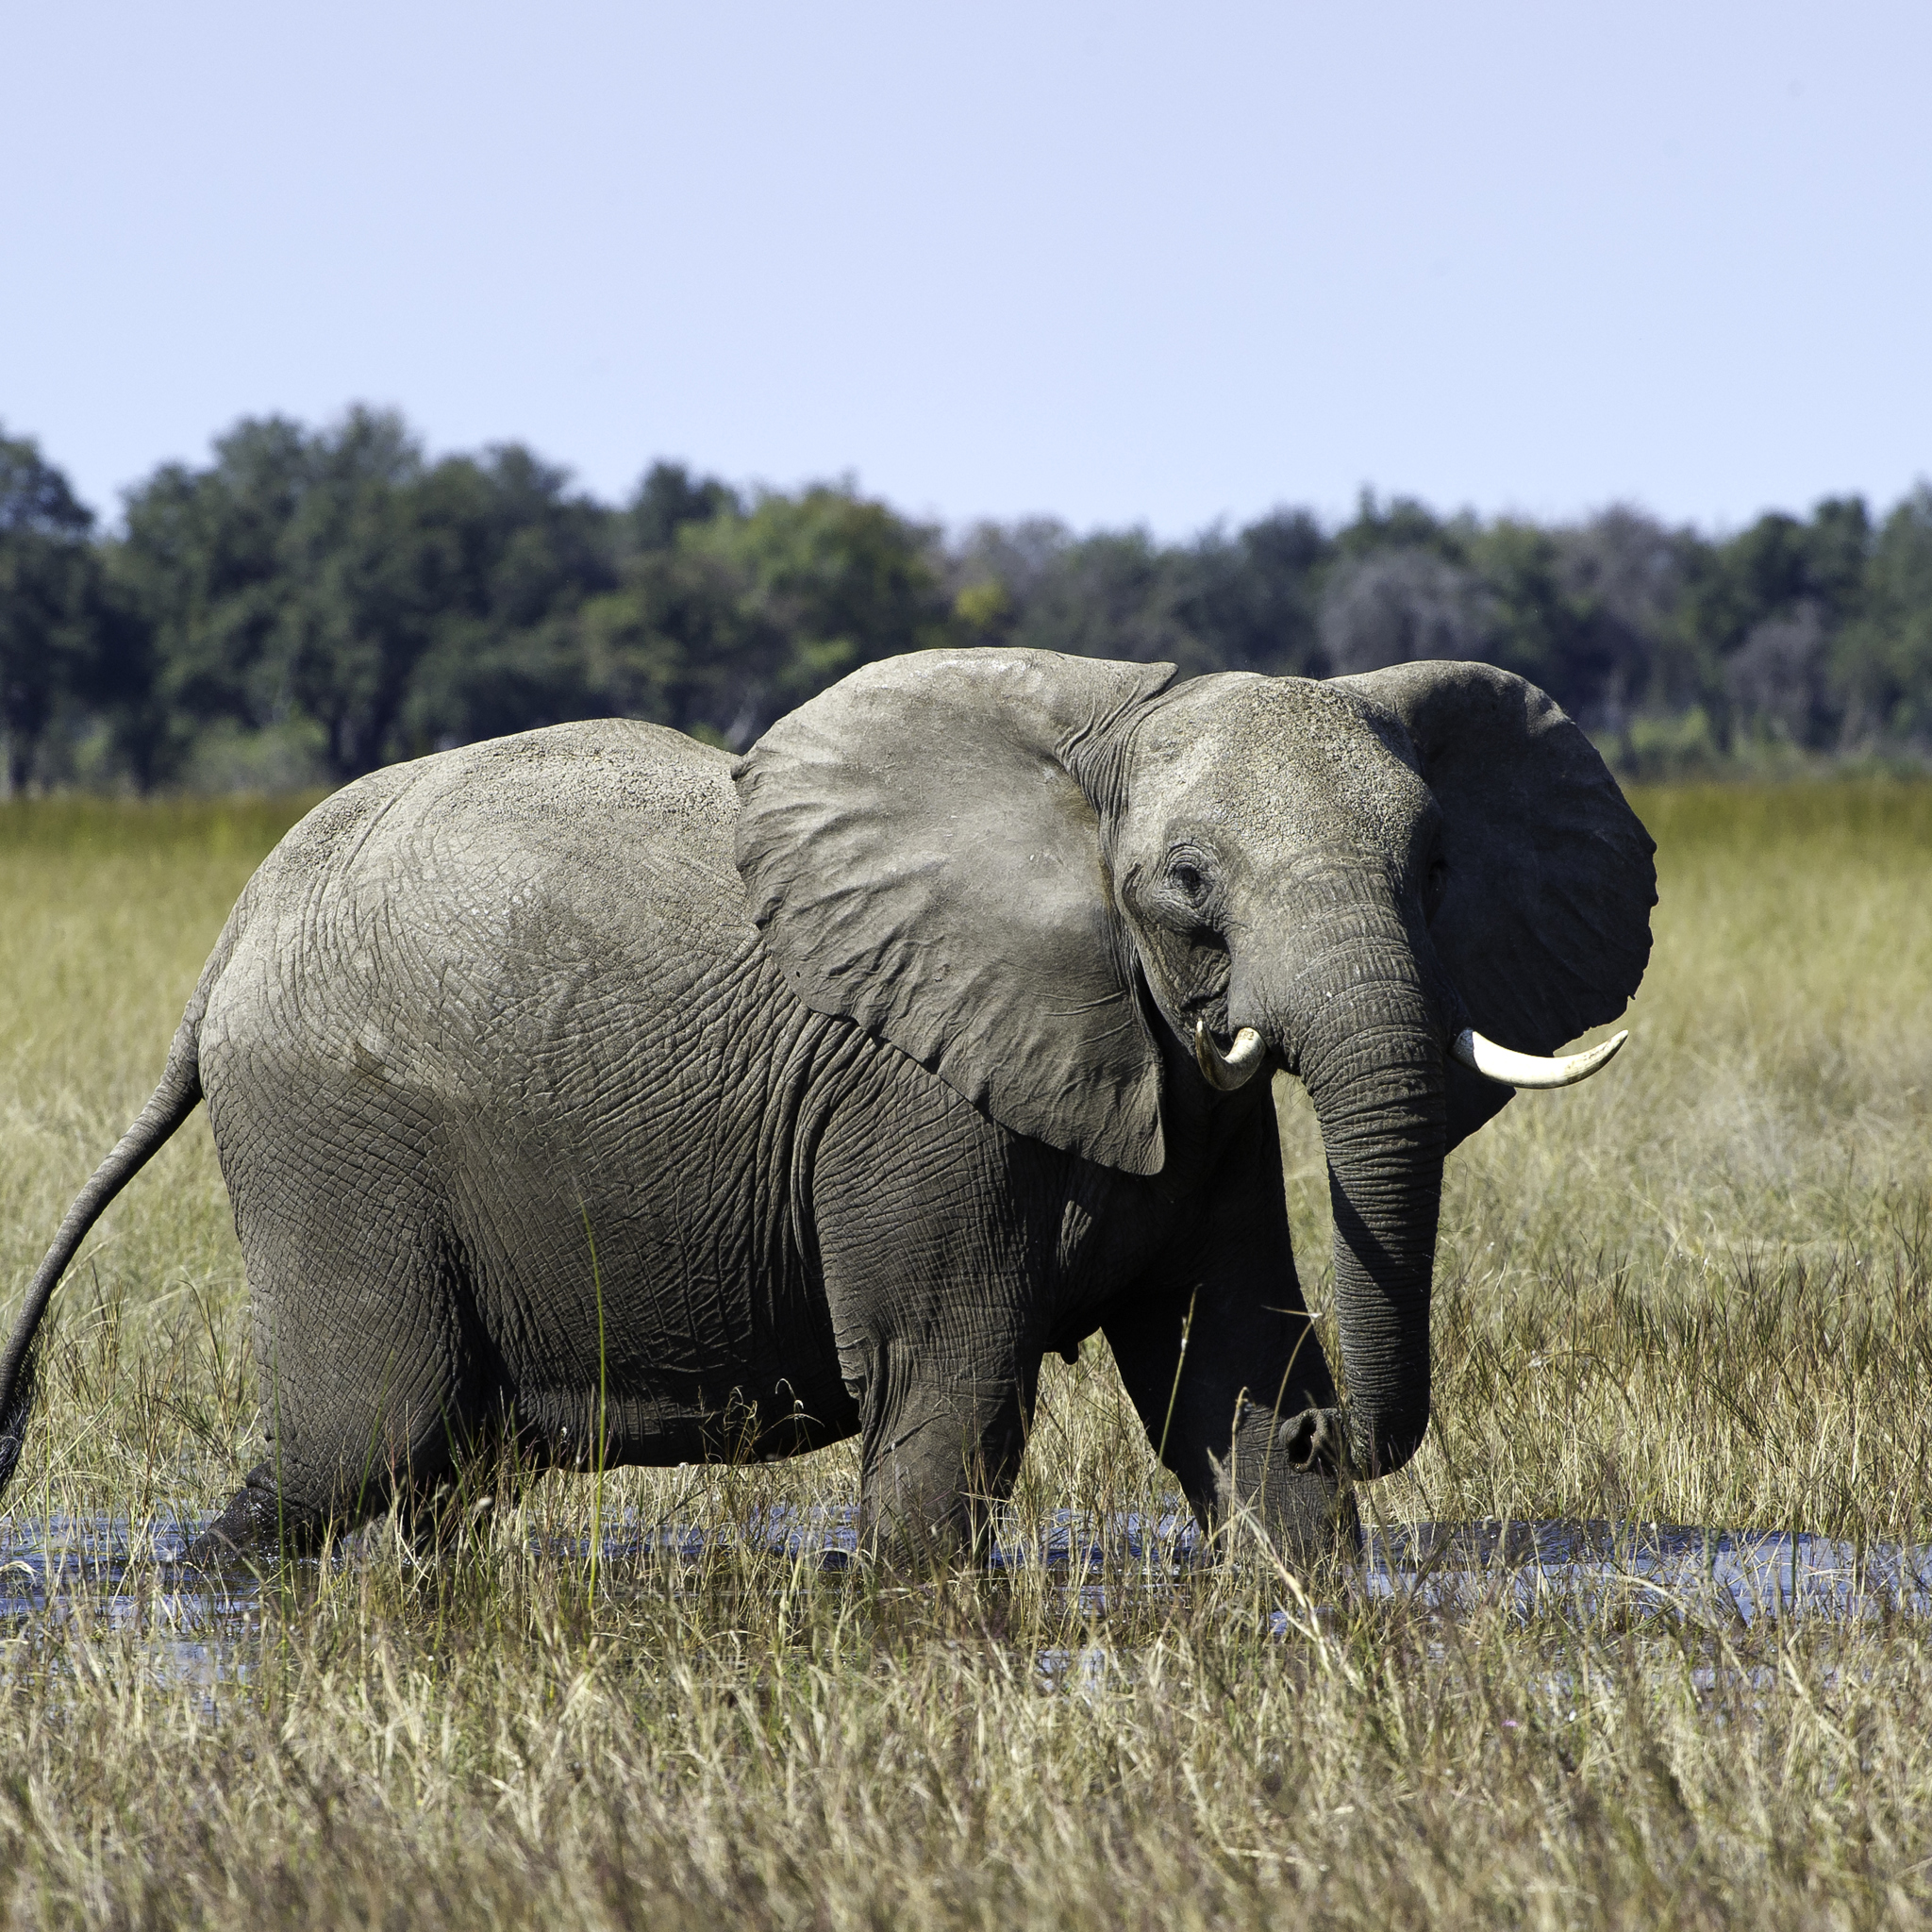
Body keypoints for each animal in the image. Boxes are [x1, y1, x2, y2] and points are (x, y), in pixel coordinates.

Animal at [0, 649, 1654, 1563]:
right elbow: (949, 1396)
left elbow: (1222, 1369)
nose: (1338, 1429)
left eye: (1436, 867)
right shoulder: (919, 1097)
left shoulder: (1191, 1102)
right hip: (330, 1133)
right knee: (362, 1445)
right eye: (1186, 887)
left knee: (444, 1473)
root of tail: (227, 947)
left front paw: (1296, 1538)